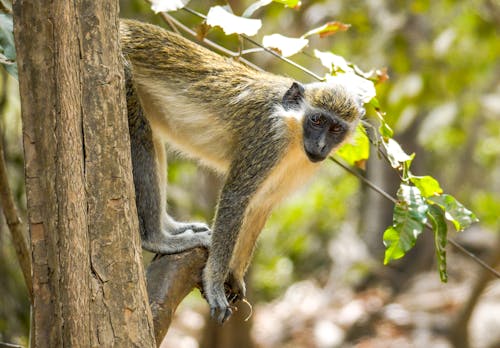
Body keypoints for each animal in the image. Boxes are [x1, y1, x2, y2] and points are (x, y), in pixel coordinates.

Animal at [119, 19, 366, 324]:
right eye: (317, 120)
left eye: (335, 129)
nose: (320, 146)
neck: (293, 129)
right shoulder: (266, 140)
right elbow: (237, 197)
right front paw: (215, 283)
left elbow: (261, 205)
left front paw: (234, 276)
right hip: (122, 71)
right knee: (140, 131)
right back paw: (157, 238)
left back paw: (171, 227)